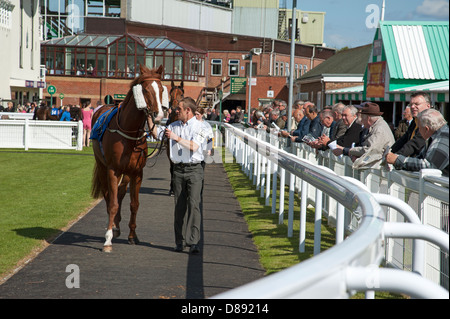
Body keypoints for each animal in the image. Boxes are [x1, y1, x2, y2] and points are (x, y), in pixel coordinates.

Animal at [90, 65, 166, 252]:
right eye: (145, 90)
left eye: (161, 89)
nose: (159, 115)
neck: (128, 131)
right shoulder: (113, 170)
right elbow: (112, 204)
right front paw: (108, 240)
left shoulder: (137, 172)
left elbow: (134, 204)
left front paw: (132, 236)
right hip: (102, 167)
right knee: (109, 195)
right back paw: (112, 227)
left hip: (126, 173)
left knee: (121, 193)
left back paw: (117, 226)